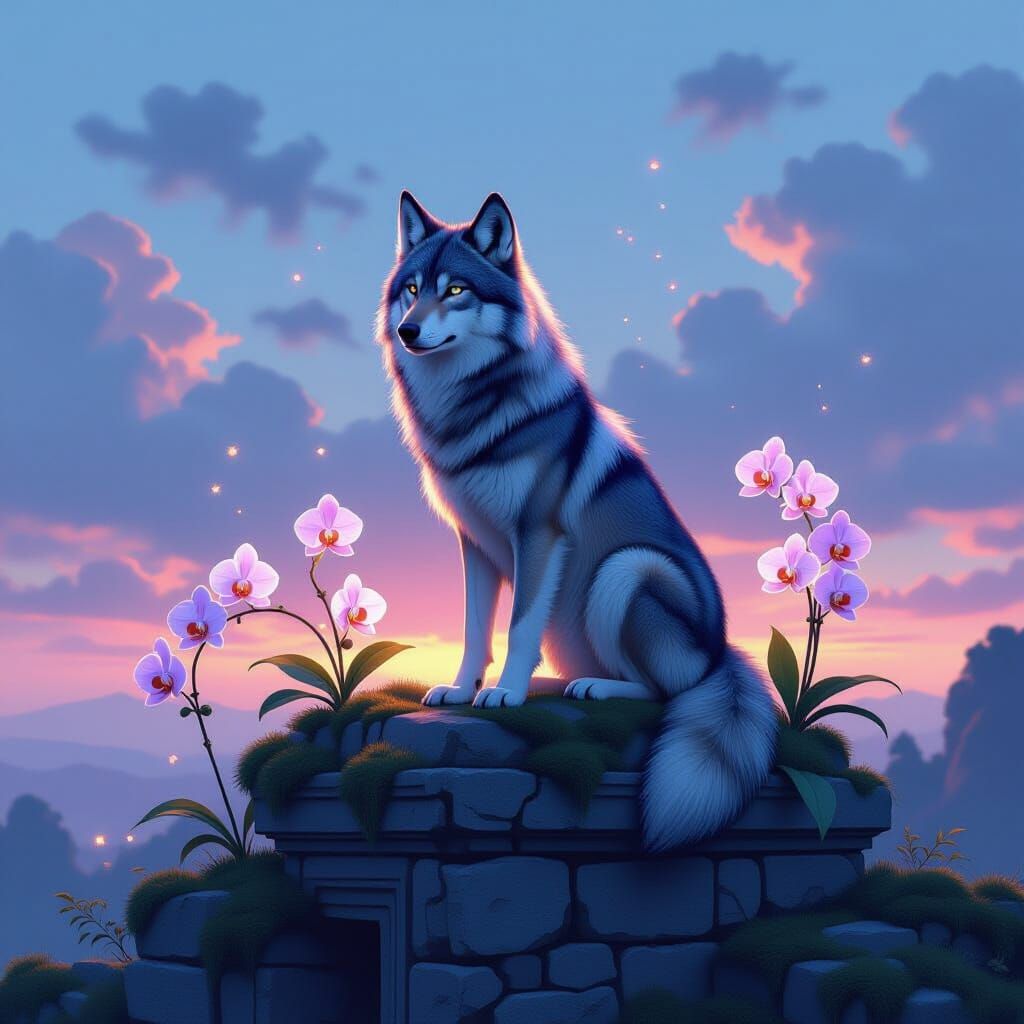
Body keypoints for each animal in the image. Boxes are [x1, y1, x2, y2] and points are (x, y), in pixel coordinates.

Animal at [376, 192, 777, 850]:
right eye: (412, 289)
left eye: (456, 289)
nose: (408, 331)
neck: (474, 410)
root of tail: (722, 652)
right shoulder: (475, 544)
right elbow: (474, 628)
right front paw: (463, 689)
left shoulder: (538, 534)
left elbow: (517, 626)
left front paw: (505, 693)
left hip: (626, 569)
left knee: (662, 692)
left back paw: (593, 688)